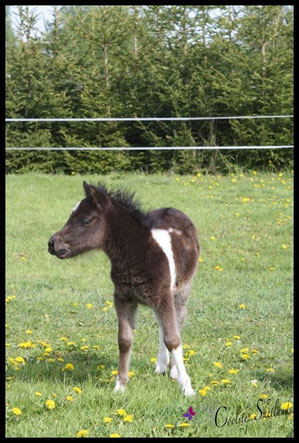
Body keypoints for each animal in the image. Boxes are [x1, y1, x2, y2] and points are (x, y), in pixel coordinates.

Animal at [48, 182, 199, 398]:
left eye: (85, 220)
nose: (52, 244)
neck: (138, 254)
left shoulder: (163, 297)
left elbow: (173, 339)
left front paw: (187, 388)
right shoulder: (122, 298)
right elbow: (125, 339)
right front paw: (120, 385)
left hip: (181, 291)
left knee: (177, 321)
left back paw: (173, 371)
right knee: (161, 325)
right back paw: (161, 365)